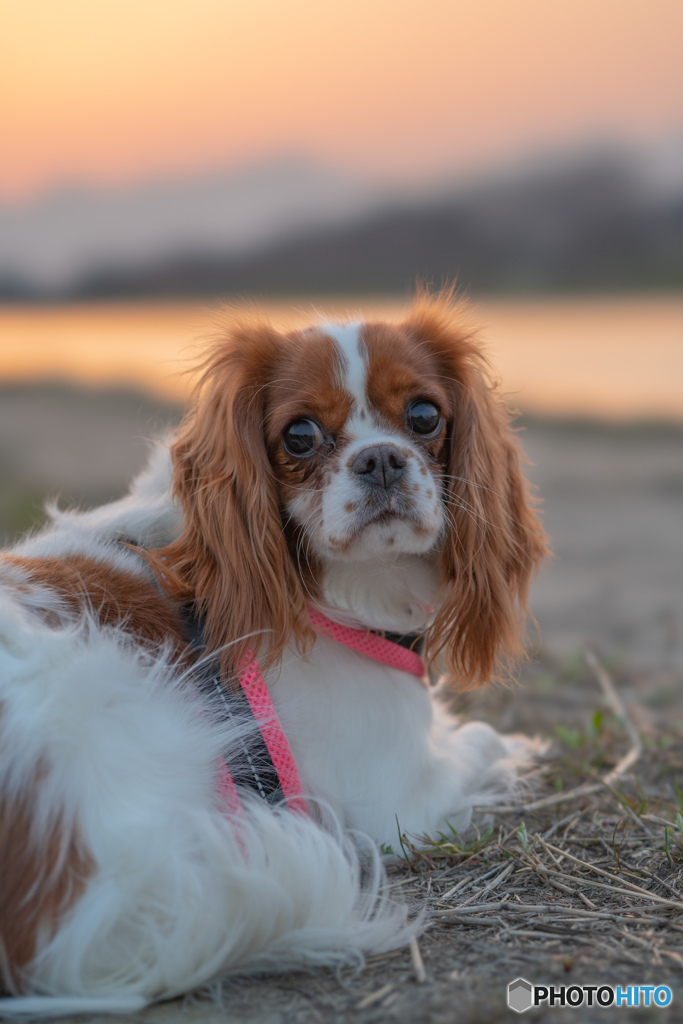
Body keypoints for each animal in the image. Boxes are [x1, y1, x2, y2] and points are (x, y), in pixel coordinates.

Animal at [0, 292, 548, 1011]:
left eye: (424, 415)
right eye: (300, 435)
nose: (380, 459)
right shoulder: (399, 800)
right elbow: (481, 739)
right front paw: (515, 746)